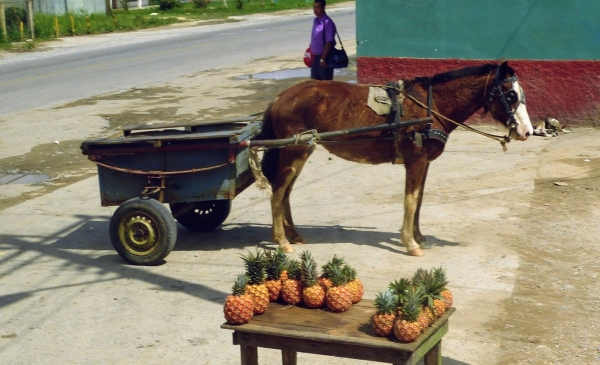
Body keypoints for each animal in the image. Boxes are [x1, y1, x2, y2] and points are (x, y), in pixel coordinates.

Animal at [255, 61, 532, 255]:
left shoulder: (424, 163)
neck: (430, 107)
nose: (527, 131)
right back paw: (282, 241)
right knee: (277, 192)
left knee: (286, 193)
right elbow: (410, 201)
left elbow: (418, 200)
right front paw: (410, 243)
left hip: (300, 153)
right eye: (511, 95)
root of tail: (280, 97)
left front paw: (418, 236)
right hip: (294, 152)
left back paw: (293, 234)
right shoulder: (416, 161)